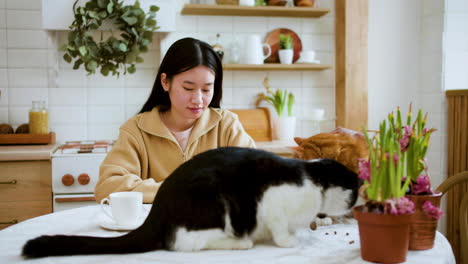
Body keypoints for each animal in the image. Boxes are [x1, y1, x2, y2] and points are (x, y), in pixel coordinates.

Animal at [22, 146, 360, 258]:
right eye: (354, 190)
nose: (357, 202)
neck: (311, 179)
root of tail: (157, 210)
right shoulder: (271, 201)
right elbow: (278, 228)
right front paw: (287, 241)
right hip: (213, 198)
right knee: (185, 242)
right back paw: (239, 243)